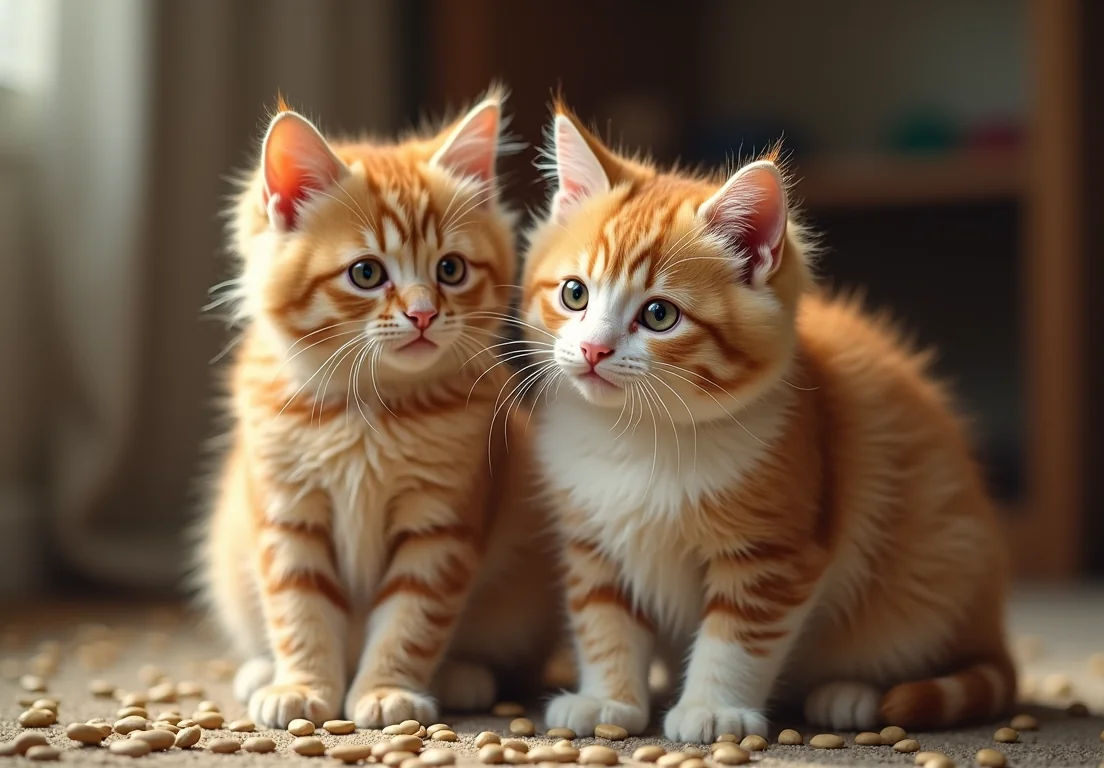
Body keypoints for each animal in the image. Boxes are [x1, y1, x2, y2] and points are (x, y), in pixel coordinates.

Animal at [195, 89, 556, 723]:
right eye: (366, 273)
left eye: (450, 269)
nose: (423, 313)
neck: (370, 411)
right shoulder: (287, 514)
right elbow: (298, 612)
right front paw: (303, 687)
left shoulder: (442, 523)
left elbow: (410, 620)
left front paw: (387, 691)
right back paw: (262, 671)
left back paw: (463, 676)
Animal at [521, 104, 1011, 741]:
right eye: (575, 294)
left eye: (659, 315)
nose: (593, 350)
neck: (639, 434)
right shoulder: (593, 543)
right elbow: (603, 620)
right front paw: (608, 701)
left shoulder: (774, 550)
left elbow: (736, 637)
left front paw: (711, 709)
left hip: (936, 565)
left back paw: (852, 694)